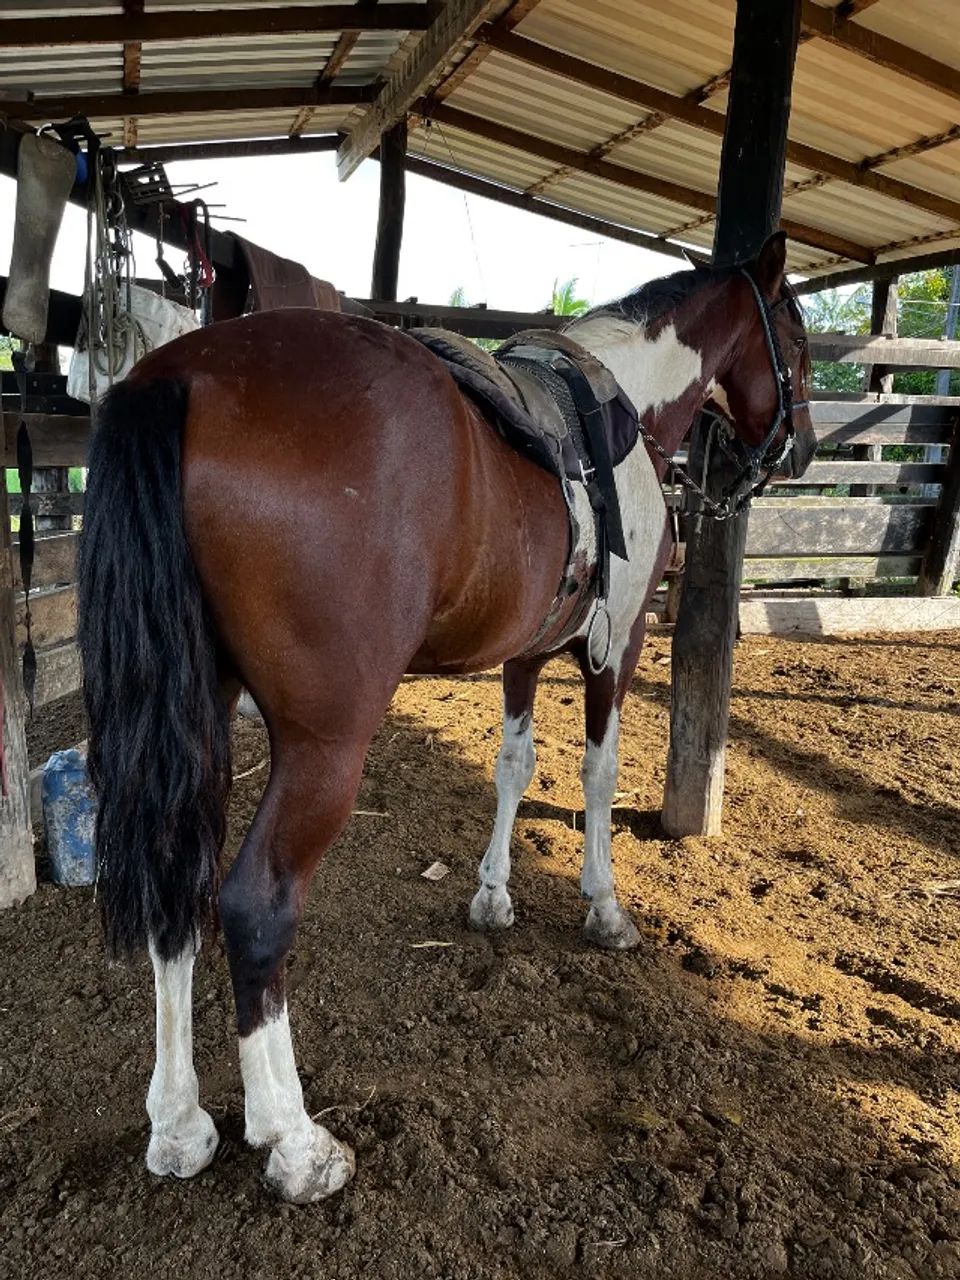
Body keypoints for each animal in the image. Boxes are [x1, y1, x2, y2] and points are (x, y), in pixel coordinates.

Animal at [77, 230, 815, 1204]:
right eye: (797, 337)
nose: (800, 448)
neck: (626, 409)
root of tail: (183, 377)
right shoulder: (616, 649)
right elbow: (597, 774)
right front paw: (604, 907)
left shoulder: (527, 654)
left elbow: (513, 765)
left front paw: (494, 893)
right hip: (326, 746)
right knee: (255, 904)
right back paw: (294, 1142)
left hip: (198, 715)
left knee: (177, 886)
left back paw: (179, 1124)